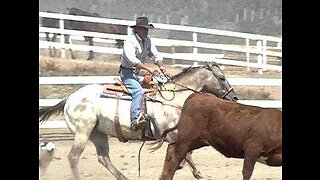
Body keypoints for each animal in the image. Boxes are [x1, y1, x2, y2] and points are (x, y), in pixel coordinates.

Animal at [38, 62, 238, 180]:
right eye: (221, 77)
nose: (234, 97)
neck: (174, 99)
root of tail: (69, 99)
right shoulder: (172, 135)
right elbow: (186, 155)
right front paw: (198, 174)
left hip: (98, 134)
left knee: (104, 159)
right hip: (83, 132)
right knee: (73, 157)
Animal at [152, 93, 280, 180]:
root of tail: (196, 95)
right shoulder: (252, 148)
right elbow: (247, 172)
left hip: (196, 141)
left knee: (171, 149)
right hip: (187, 139)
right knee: (175, 156)